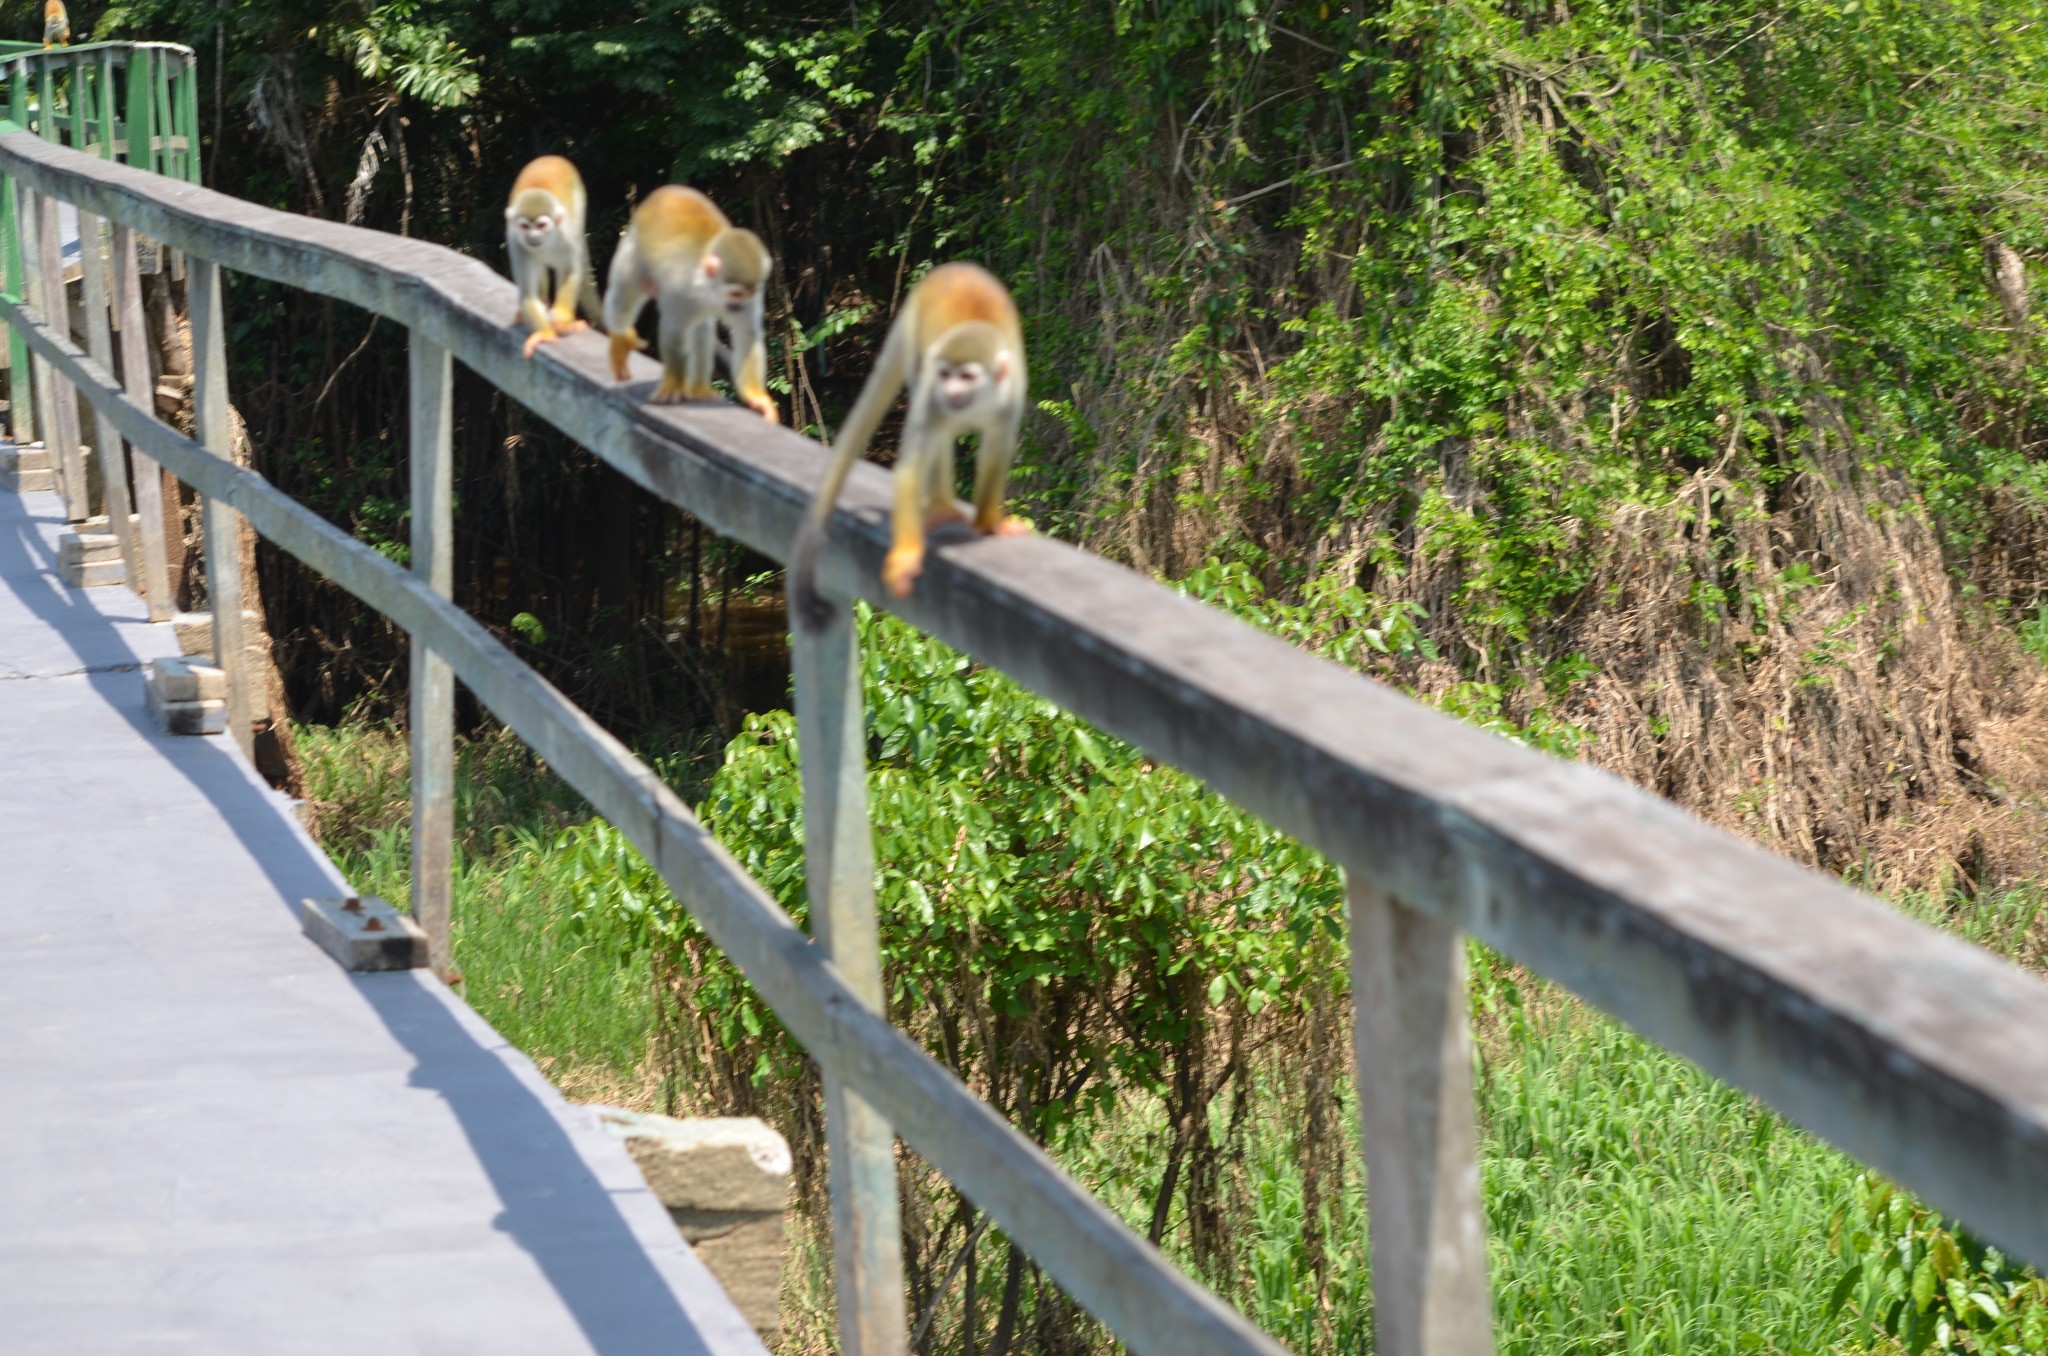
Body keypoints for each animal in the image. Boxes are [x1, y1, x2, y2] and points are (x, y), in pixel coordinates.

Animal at [505, 156, 598, 360]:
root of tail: (552, 157)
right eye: (525, 227)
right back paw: (543, 300)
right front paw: (545, 333)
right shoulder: (516, 243)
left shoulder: (566, 235)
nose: (532, 236)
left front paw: (562, 320)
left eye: (541, 225)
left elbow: (570, 271)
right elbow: (527, 292)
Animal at [602, 183, 778, 421]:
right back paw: (620, 339)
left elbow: (747, 334)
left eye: (751, 293)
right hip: (633, 248)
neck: (707, 288)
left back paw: (698, 387)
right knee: (624, 293)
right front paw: (673, 385)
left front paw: (756, 396)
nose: (739, 307)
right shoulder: (679, 290)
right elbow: (674, 330)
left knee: (701, 327)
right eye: (736, 294)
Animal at [790, 262, 1032, 630]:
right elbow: (910, 469)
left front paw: (990, 524)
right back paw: (942, 506)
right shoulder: (933, 391)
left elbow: (996, 453)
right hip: (920, 354)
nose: (950, 391)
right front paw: (905, 558)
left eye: (967, 377)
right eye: (946, 375)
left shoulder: (1011, 396)